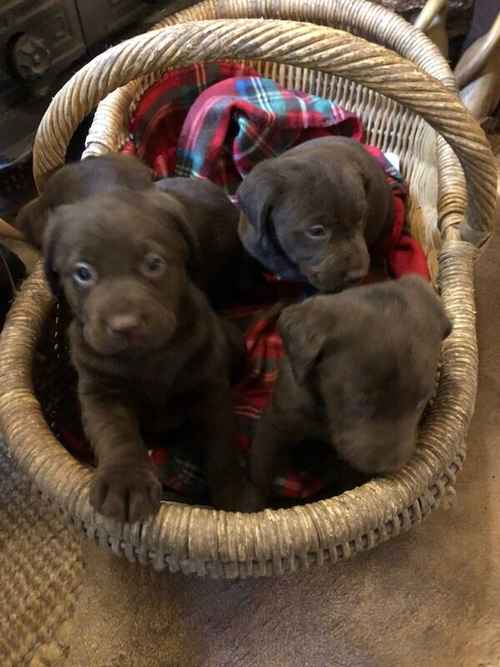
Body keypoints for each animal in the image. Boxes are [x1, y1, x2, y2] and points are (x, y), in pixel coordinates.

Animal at [44, 190, 254, 524]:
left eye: (154, 264)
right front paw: (125, 482)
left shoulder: (210, 389)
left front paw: (236, 496)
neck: (146, 357)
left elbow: (222, 446)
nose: (125, 325)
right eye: (83, 273)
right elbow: (116, 434)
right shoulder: (101, 393)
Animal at [248, 274, 452, 508]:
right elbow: (259, 474)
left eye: (419, 403)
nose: (388, 467)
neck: (325, 412)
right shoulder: (276, 422)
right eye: (359, 402)